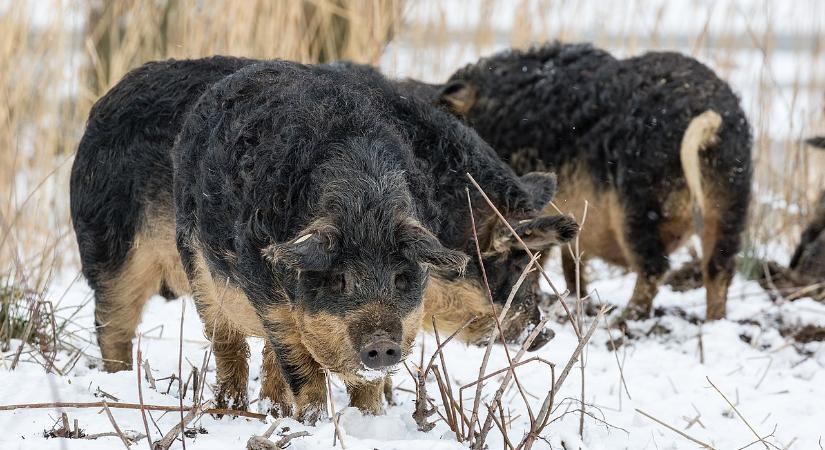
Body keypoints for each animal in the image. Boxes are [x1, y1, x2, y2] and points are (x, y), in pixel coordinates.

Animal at [438, 43, 752, 320]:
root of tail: (709, 117)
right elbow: (570, 259)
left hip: (637, 203)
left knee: (654, 266)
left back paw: (624, 318)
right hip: (731, 200)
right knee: (719, 265)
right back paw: (715, 320)